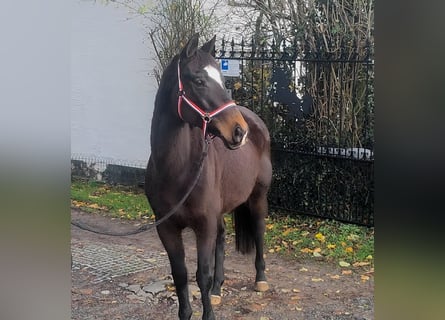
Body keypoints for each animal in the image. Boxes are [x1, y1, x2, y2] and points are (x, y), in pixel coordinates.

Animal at [145, 33, 270, 318]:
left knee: (258, 231)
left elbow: (201, 274)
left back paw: (260, 279)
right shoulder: (167, 228)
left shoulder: (204, 225)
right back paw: (217, 290)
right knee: (222, 239)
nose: (239, 131)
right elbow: (180, 275)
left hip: (258, 197)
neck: (177, 170)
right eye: (199, 81)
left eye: (222, 80)